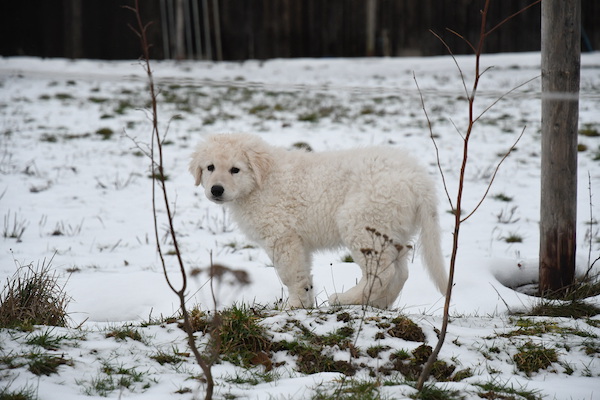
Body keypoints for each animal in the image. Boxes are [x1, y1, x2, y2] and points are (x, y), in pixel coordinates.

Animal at [190, 134, 448, 310]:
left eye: (235, 170)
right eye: (210, 167)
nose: (216, 190)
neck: (262, 182)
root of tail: (419, 180)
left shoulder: (282, 237)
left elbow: (290, 273)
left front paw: (294, 304)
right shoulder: (298, 241)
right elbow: (303, 272)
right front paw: (305, 301)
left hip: (361, 222)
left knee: (382, 271)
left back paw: (346, 298)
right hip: (392, 229)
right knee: (400, 272)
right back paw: (377, 303)